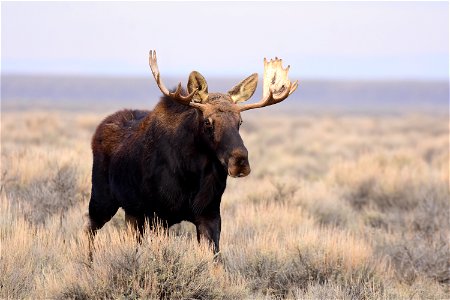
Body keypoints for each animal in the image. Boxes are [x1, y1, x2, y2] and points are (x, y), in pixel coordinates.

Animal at [83, 49, 298, 253]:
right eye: (208, 122)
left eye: (240, 121)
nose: (240, 162)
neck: (193, 174)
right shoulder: (159, 216)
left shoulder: (209, 214)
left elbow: (216, 259)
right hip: (102, 198)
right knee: (89, 229)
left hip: (132, 211)